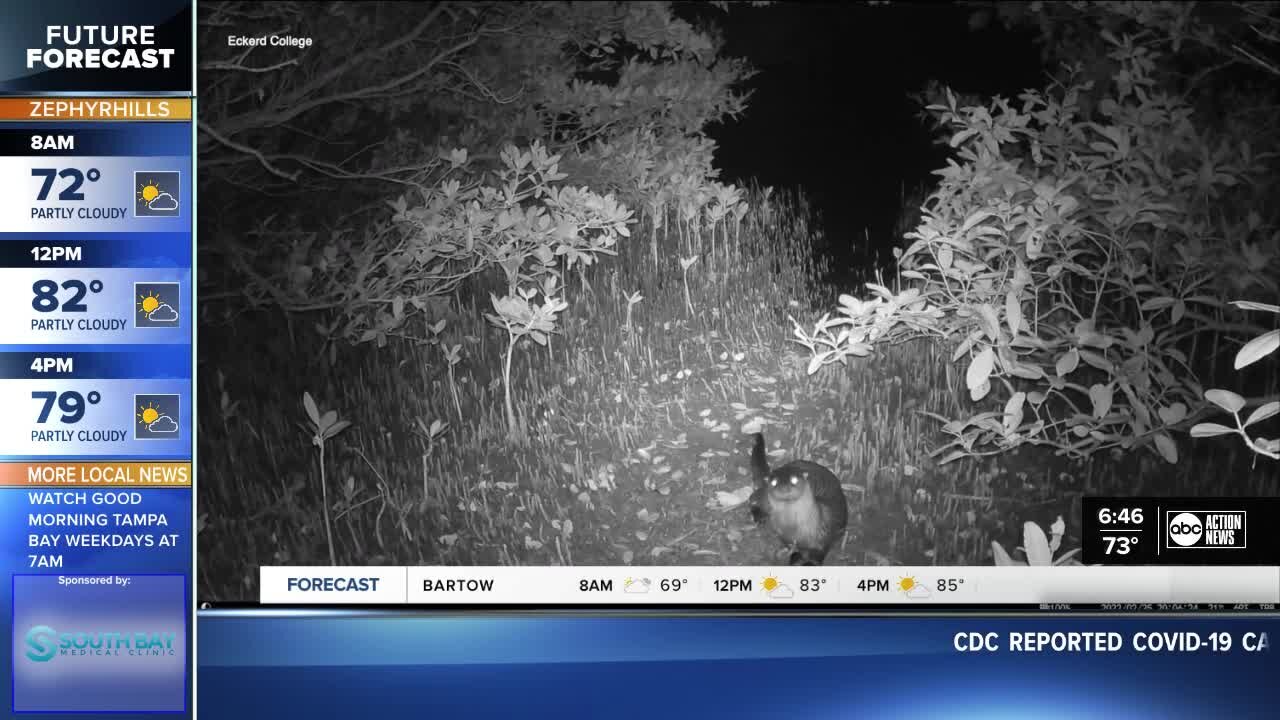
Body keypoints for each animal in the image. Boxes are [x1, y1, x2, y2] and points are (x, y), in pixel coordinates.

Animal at [747, 427, 844, 563]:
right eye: (774, 482)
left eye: (794, 480)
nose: (783, 487)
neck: (794, 530)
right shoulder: (783, 536)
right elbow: (790, 547)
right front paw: (790, 555)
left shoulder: (823, 542)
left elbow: (816, 558)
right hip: (764, 497)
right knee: (753, 497)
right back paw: (758, 516)